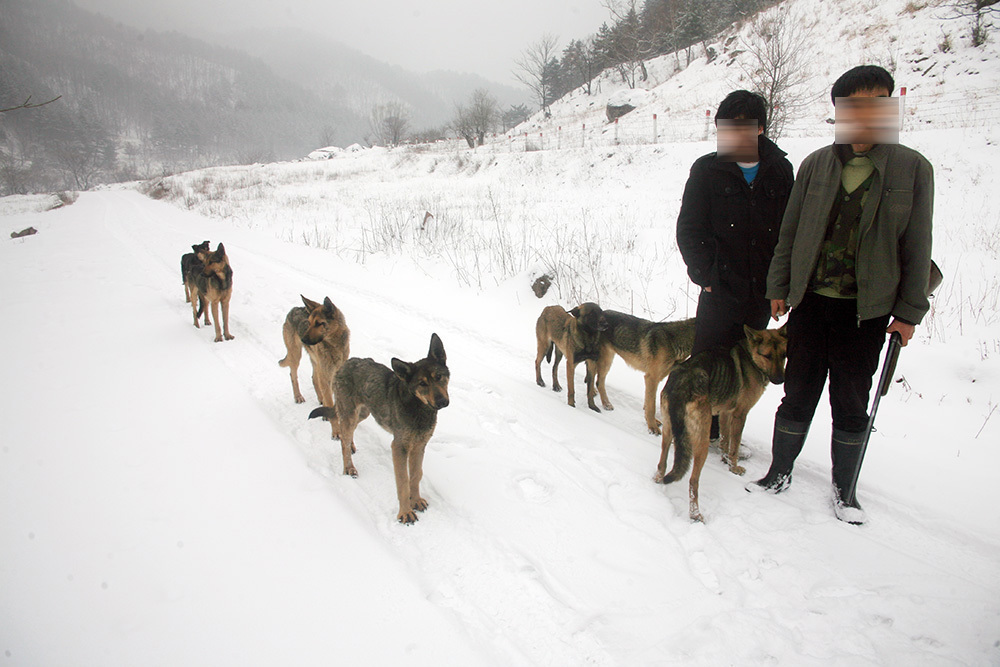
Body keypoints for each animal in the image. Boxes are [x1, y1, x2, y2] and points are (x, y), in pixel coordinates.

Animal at [276, 294, 350, 434]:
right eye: (309, 323)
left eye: (319, 323)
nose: (303, 339)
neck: (334, 345)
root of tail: (293, 309)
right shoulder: (327, 374)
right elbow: (330, 402)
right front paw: (336, 432)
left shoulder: (333, 374)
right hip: (296, 356)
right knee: (293, 375)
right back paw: (298, 397)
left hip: (316, 362)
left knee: (314, 379)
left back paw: (320, 400)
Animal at [310, 336, 452, 524]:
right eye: (422, 384)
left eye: (439, 377)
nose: (442, 402)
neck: (418, 408)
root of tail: (346, 363)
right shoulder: (399, 447)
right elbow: (403, 482)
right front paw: (405, 513)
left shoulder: (419, 445)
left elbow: (415, 476)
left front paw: (415, 501)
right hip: (350, 413)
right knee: (343, 442)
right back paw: (349, 468)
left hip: (363, 413)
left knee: (347, 433)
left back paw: (352, 446)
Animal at [656, 326, 788, 524]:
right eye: (767, 356)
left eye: (784, 355)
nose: (781, 380)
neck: (751, 357)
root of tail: (682, 384)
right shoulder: (740, 415)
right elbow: (734, 445)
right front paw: (733, 467)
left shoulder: (725, 414)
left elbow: (726, 441)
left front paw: (724, 459)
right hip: (701, 441)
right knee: (693, 481)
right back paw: (696, 515)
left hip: (669, 431)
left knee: (662, 463)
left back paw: (658, 480)